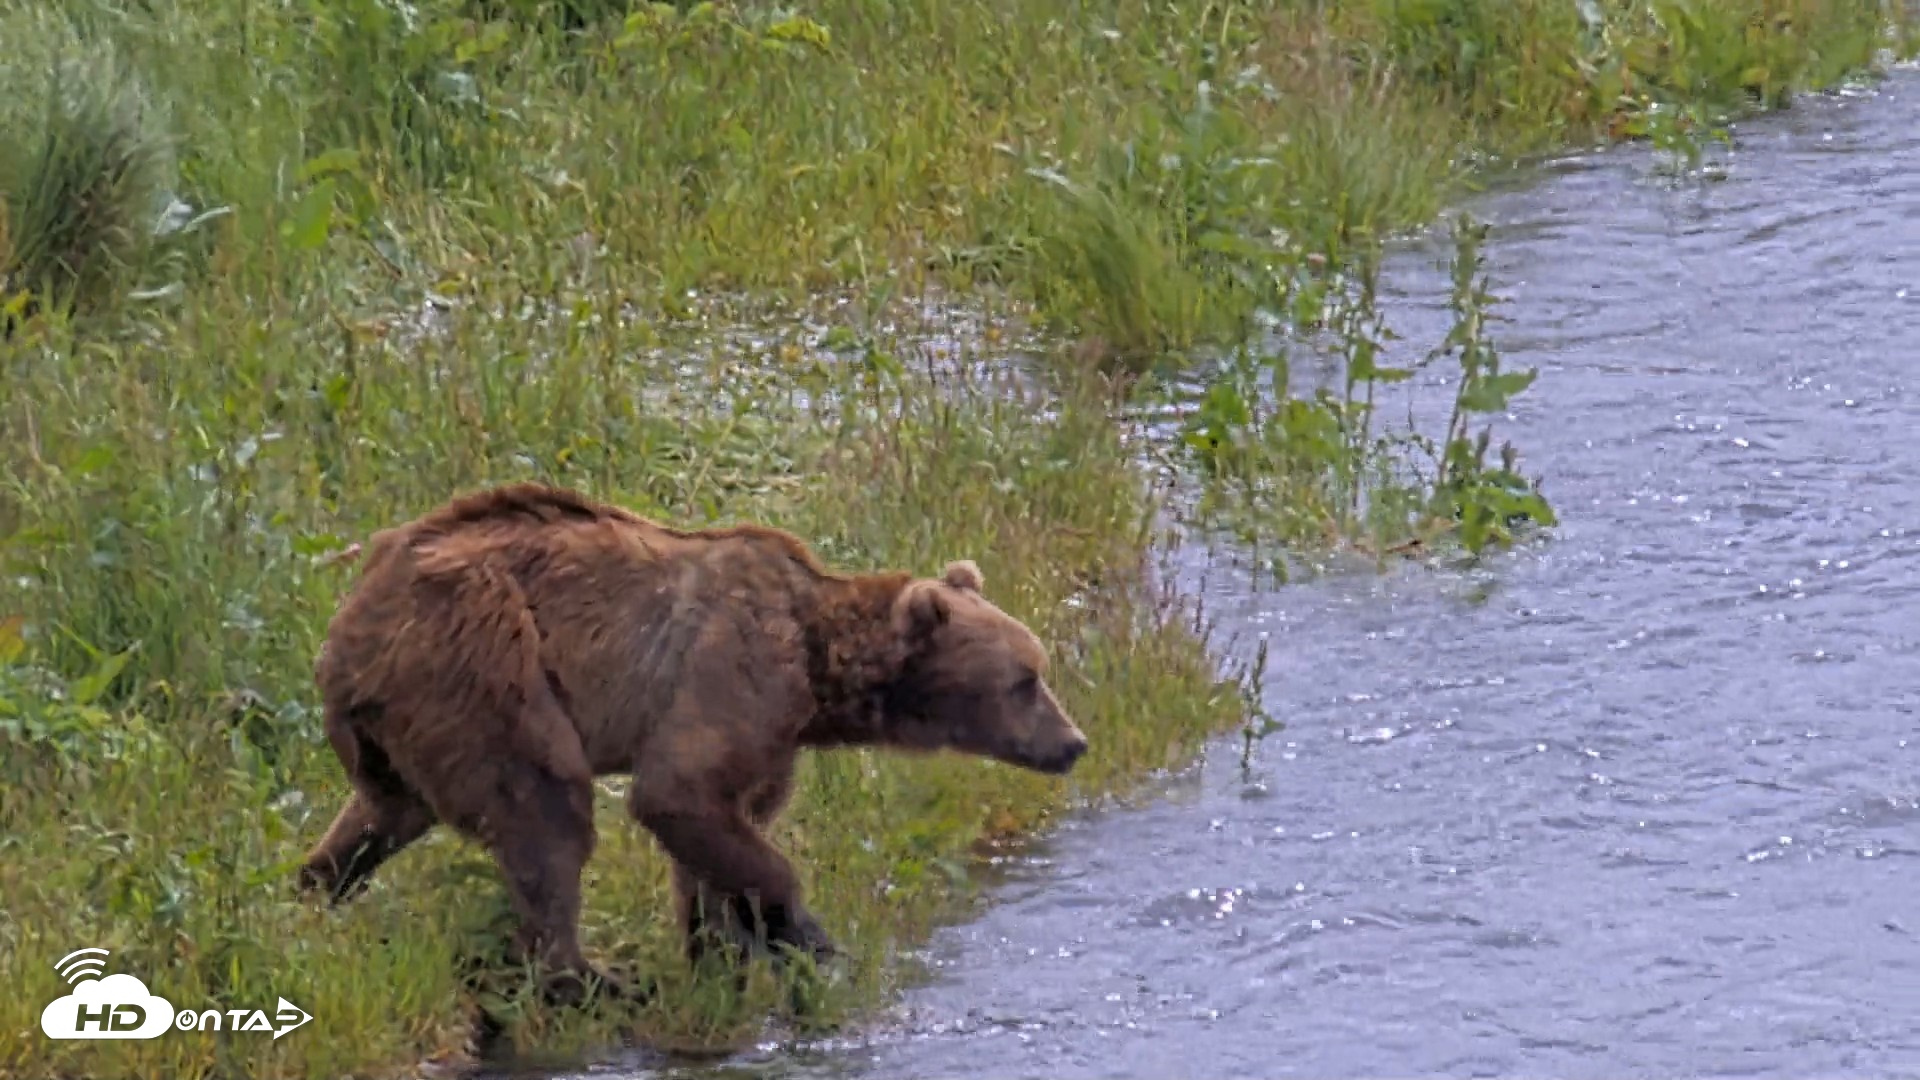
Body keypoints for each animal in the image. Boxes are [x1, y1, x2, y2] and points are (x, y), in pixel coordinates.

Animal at [296, 482, 1089, 1004]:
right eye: (1025, 679)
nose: (1075, 742)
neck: (818, 669)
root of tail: (345, 624)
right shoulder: (732, 674)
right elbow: (680, 795)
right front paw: (806, 936)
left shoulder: (772, 741)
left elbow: (718, 834)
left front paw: (719, 949)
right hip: (483, 665)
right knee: (544, 812)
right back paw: (595, 978)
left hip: (401, 729)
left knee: (380, 816)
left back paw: (309, 895)